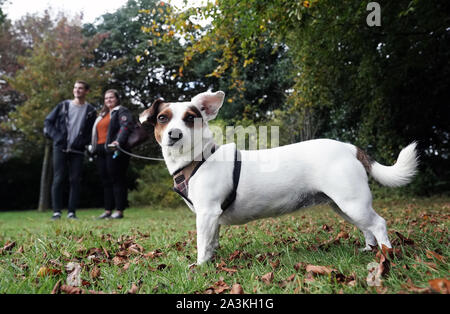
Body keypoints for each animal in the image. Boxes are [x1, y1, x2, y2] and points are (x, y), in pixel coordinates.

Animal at [141, 91, 418, 264]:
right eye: (162, 118)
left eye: (190, 118)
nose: (174, 134)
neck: (198, 159)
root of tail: (350, 147)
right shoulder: (212, 218)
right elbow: (211, 242)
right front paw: (211, 260)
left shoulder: (207, 213)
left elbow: (201, 244)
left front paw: (200, 266)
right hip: (344, 206)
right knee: (367, 228)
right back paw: (369, 250)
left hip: (353, 203)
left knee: (378, 224)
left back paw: (386, 255)